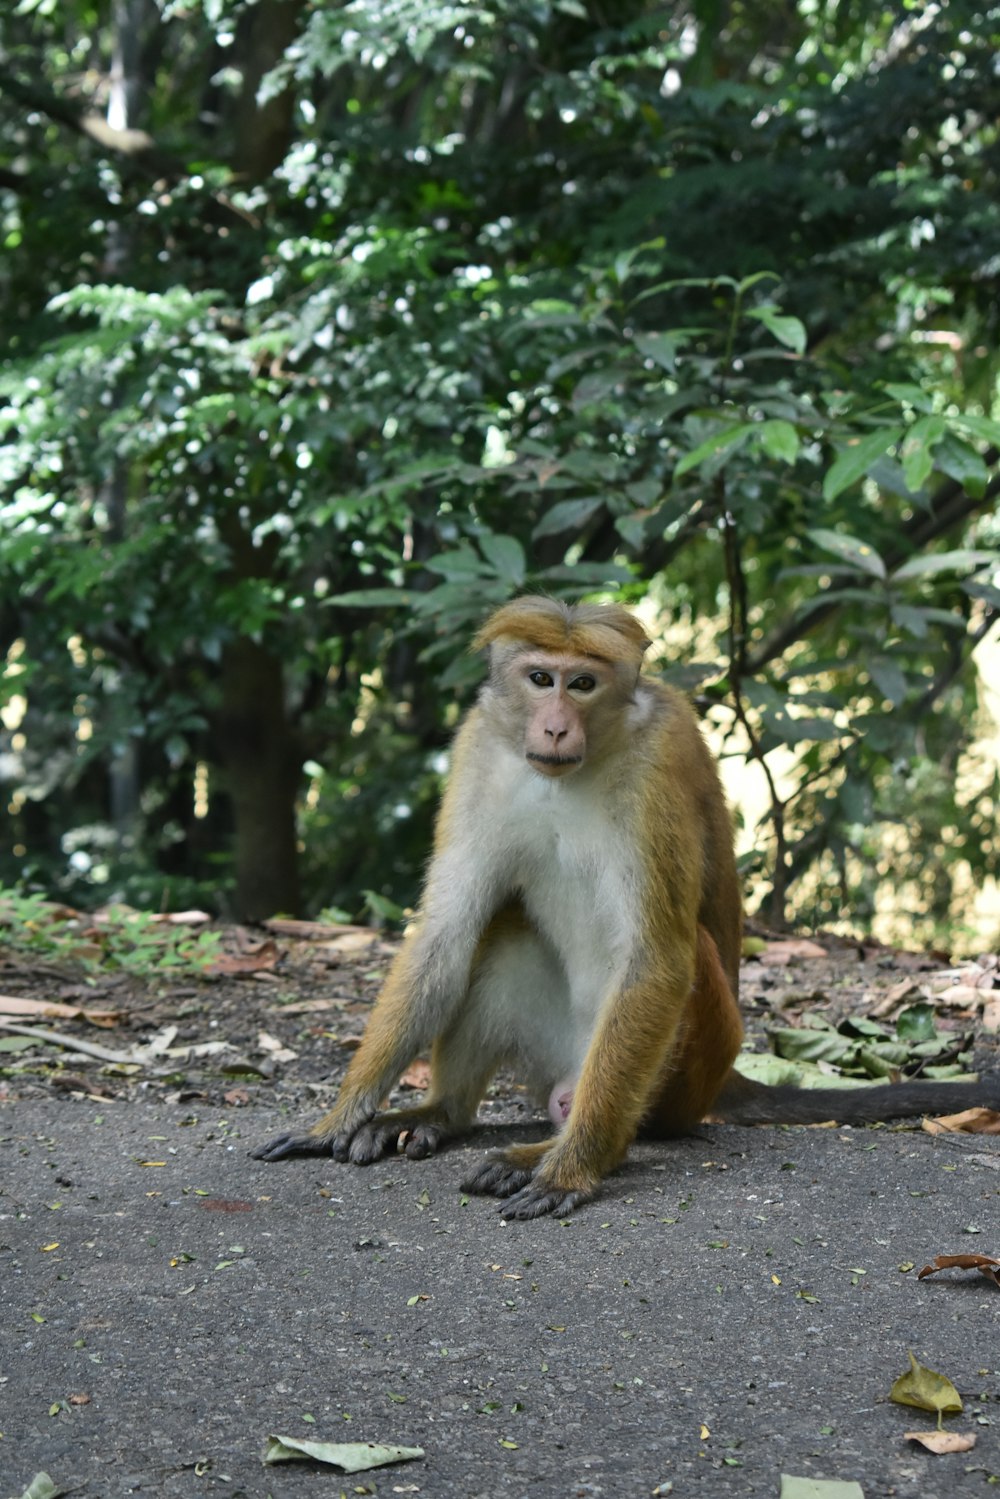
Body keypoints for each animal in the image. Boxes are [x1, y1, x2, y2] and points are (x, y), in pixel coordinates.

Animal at [251, 596, 1000, 1217]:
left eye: (582, 684)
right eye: (540, 679)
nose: (556, 728)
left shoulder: (656, 767)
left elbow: (658, 956)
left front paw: (573, 1168)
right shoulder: (479, 748)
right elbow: (447, 930)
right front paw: (338, 1119)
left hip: (674, 1076)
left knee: (685, 964)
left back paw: (561, 1150)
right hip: (553, 1048)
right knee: (503, 927)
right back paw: (441, 1112)